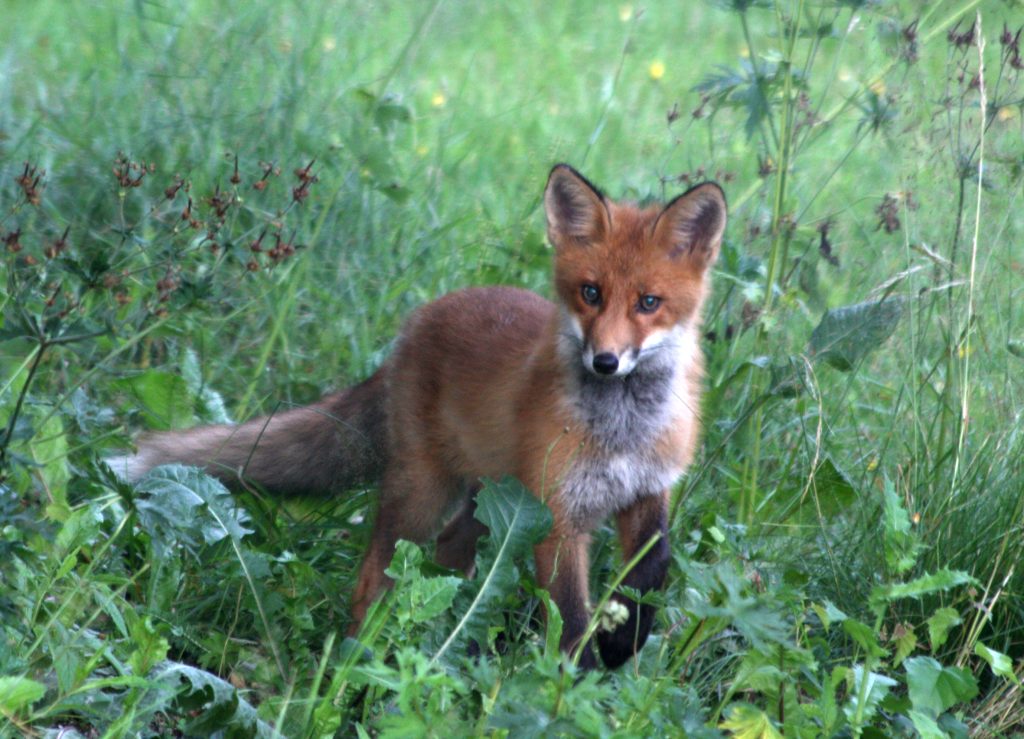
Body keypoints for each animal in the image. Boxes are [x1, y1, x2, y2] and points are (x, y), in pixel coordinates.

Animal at [108, 165, 724, 667]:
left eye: (649, 303)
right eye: (590, 293)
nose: (605, 361)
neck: (622, 432)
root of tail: (417, 321)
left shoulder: (646, 489)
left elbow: (656, 564)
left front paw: (625, 638)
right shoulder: (558, 516)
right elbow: (570, 622)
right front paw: (577, 686)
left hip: (489, 502)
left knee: (452, 552)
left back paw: (457, 645)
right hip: (424, 496)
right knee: (375, 575)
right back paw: (356, 662)